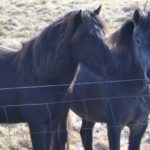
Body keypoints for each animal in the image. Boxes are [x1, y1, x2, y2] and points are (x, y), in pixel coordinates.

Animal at [0, 6, 116, 150]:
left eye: (103, 34)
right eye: (87, 37)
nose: (112, 67)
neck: (42, 79)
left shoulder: (53, 124)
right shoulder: (38, 126)